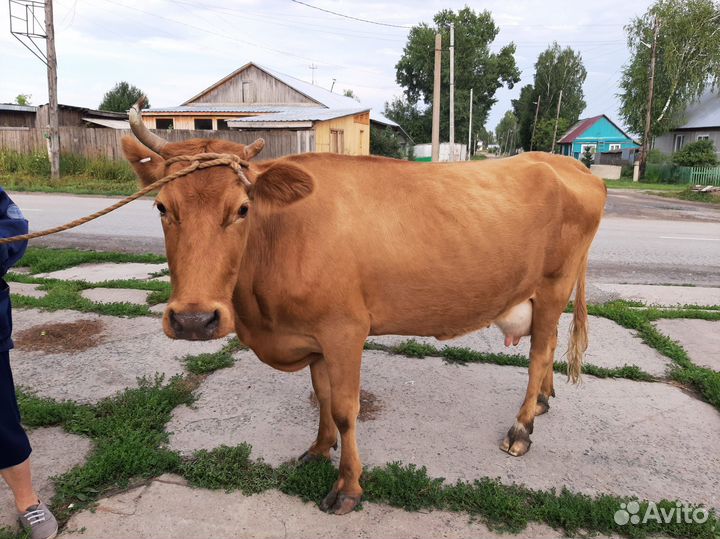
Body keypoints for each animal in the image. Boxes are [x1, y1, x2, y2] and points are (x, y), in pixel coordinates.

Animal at [122, 100, 606, 515]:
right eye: (162, 206)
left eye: (242, 208)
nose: (193, 320)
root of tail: (569, 164)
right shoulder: (313, 335)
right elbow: (320, 396)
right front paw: (319, 449)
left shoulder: (344, 330)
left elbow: (344, 408)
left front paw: (348, 487)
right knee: (550, 343)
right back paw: (542, 401)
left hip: (554, 284)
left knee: (539, 352)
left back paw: (521, 429)